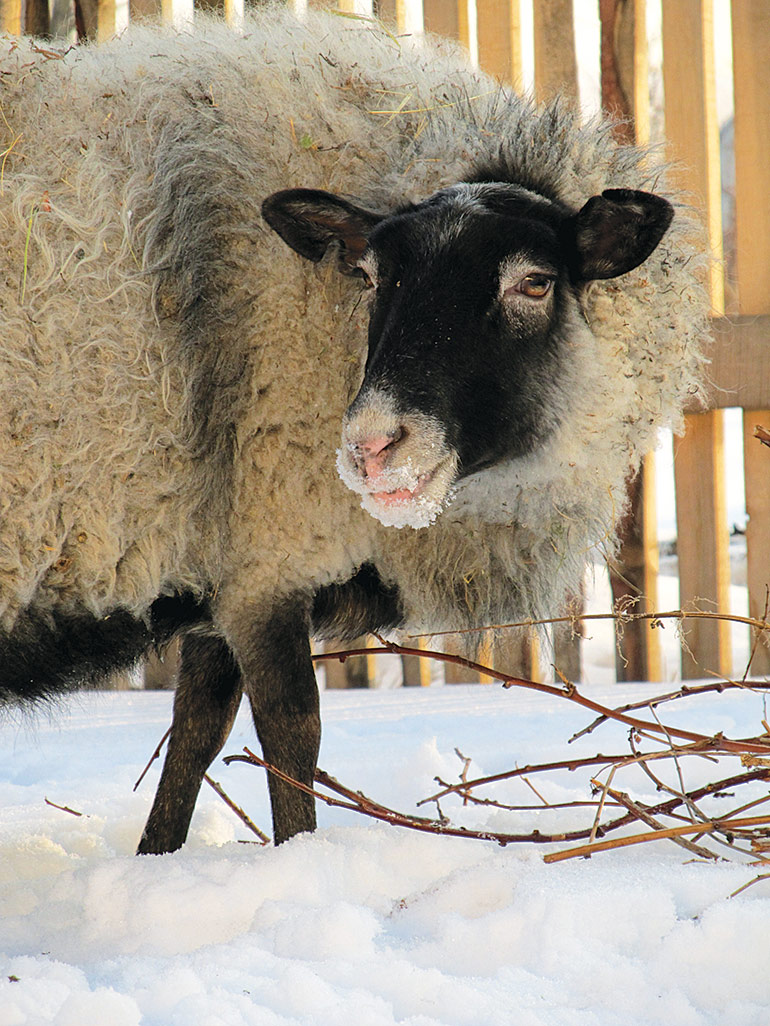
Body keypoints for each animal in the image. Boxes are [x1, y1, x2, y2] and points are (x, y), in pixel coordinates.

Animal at [0, 12, 710, 853]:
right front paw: (297, 856)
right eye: (369, 277)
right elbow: (290, 730)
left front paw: (155, 860)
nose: (372, 446)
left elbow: (198, 727)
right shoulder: (271, 553)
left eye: (534, 282)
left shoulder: (232, 558)